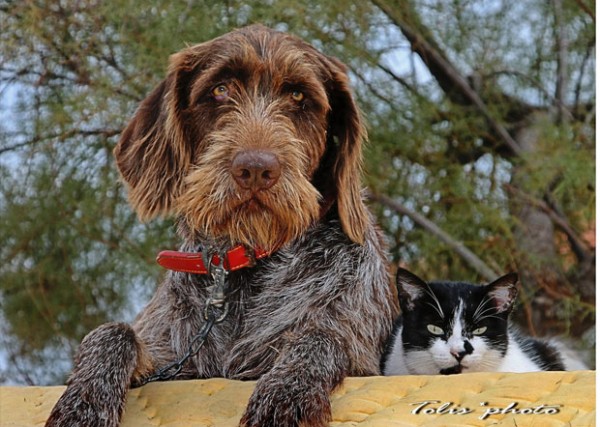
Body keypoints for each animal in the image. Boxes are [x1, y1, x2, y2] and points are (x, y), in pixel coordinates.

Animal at [47, 25, 398, 426]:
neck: (244, 266)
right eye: (220, 89)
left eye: (298, 95)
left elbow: (320, 338)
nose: (256, 169)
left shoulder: (358, 352)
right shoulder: (173, 364)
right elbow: (112, 333)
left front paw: (286, 395)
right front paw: (83, 403)